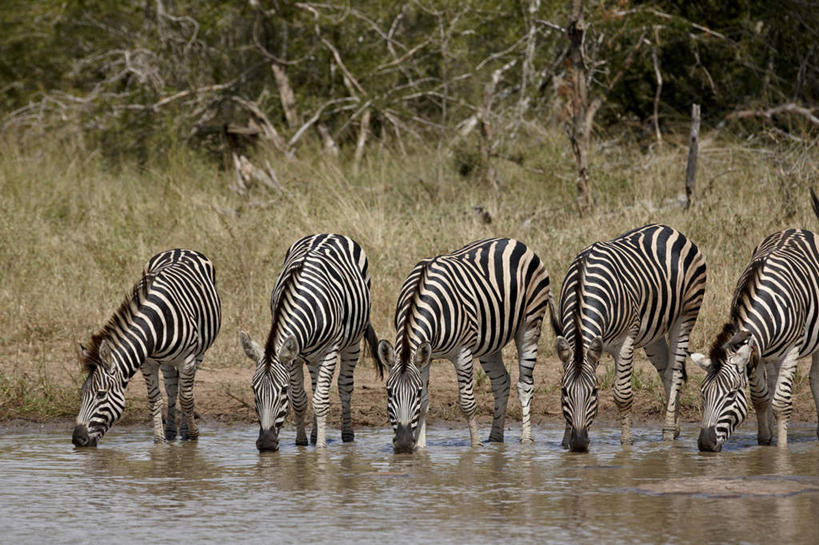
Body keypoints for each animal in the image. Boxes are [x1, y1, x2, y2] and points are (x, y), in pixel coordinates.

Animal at [71, 251, 221, 446]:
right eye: (82, 393)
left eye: (101, 395)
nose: (77, 439)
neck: (157, 324)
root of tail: (180, 249)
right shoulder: (147, 363)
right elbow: (155, 399)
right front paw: (159, 441)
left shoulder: (187, 360)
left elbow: (187, 399)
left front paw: (193, 436)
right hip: (166, 361)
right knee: (172, 389)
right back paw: (171, 432)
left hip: (199, 353)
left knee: (185, 391)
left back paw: (184, 431)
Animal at [240, 234, 384, 450]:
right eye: (253, 389)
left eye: (283, 390)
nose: (266, 444)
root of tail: (328, 233)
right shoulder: (295, 357)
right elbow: (300, 399)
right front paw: (302, 442)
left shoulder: (330, 350)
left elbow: (321, 402)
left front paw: (321, 449)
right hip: (313, 355)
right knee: (316, 388)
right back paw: (315, 435)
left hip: (353, 342)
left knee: (344, 386)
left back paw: (347, 434)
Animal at [378, 236, 556, 452]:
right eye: (389, 392)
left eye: (416, 392)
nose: (403, 444)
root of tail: (515, 241)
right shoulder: (425, 357)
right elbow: (425, 403)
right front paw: (420, 449)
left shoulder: (462, 353)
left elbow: (467, 403)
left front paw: (475, 447)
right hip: (490, 342)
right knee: (501, 381)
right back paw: (495, 438)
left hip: (530, 326)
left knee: (525, 385)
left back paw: (526, 440)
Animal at [556, 224, 704, 450]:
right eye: (564, 392)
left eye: (595, 392)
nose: (579, 443)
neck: (583, 284)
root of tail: (670, 229)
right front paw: (565, 442)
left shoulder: (625, 340)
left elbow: (622, 394)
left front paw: (626, 442)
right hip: (653, 333)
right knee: (665, 370)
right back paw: (676, 426)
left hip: (686, 315)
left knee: (675, 372)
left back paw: (668, 431)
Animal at [692, 226, 819, 450]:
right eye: (702, 393)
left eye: (731, 394)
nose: (705, 444)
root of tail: (796, 229)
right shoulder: (755, 353)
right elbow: (761, 399)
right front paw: (764, 441)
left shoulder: (792, 350)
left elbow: (781, 404)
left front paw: (781, 451)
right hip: (771, 356)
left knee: (814, 378)